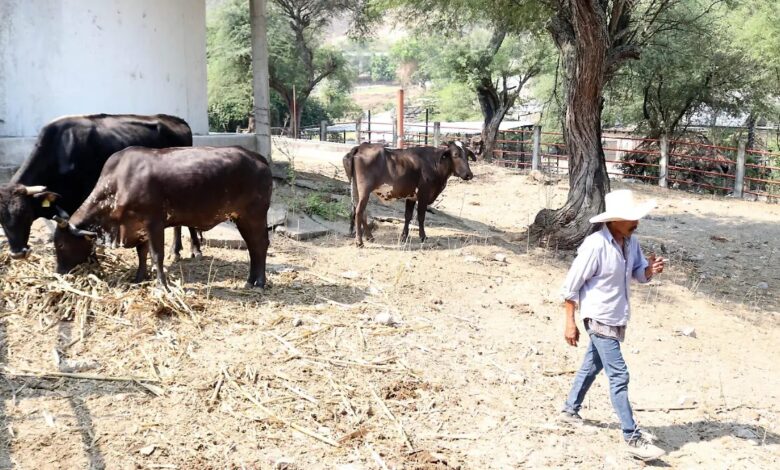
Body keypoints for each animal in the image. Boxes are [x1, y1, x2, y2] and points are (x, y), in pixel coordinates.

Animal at [0, 114, 201, 261]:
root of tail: (176, 119)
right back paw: (176, 250)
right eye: (1, 221)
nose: (17, 254)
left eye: (26, 214)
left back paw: (194, 249)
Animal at [53, 146, 272, 289]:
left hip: (254, 215)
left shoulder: (154, 223)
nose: (58, 273)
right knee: (252, 247)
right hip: (241, 218)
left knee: (260, 245)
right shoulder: (138, 227)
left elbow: (156, 255)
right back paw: (250, 281)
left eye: (61, 245)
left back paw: (259, 283)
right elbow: (142, 254)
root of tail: (258, 157)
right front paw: (139, 278)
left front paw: (161, 285)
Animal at [343, 141, 475, 247]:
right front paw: (423, 236)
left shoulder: (411, 197)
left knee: (359, 211)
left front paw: (404, 236)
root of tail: (361, 146)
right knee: (359, 211)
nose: (469, 174)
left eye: (467, 155)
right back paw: (359, 241)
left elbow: (408, 216)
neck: (434, 163)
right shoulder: (423, 194)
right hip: (364, 190)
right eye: (456, 155)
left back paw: (370, 237)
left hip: (355, 188)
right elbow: (421, 217)